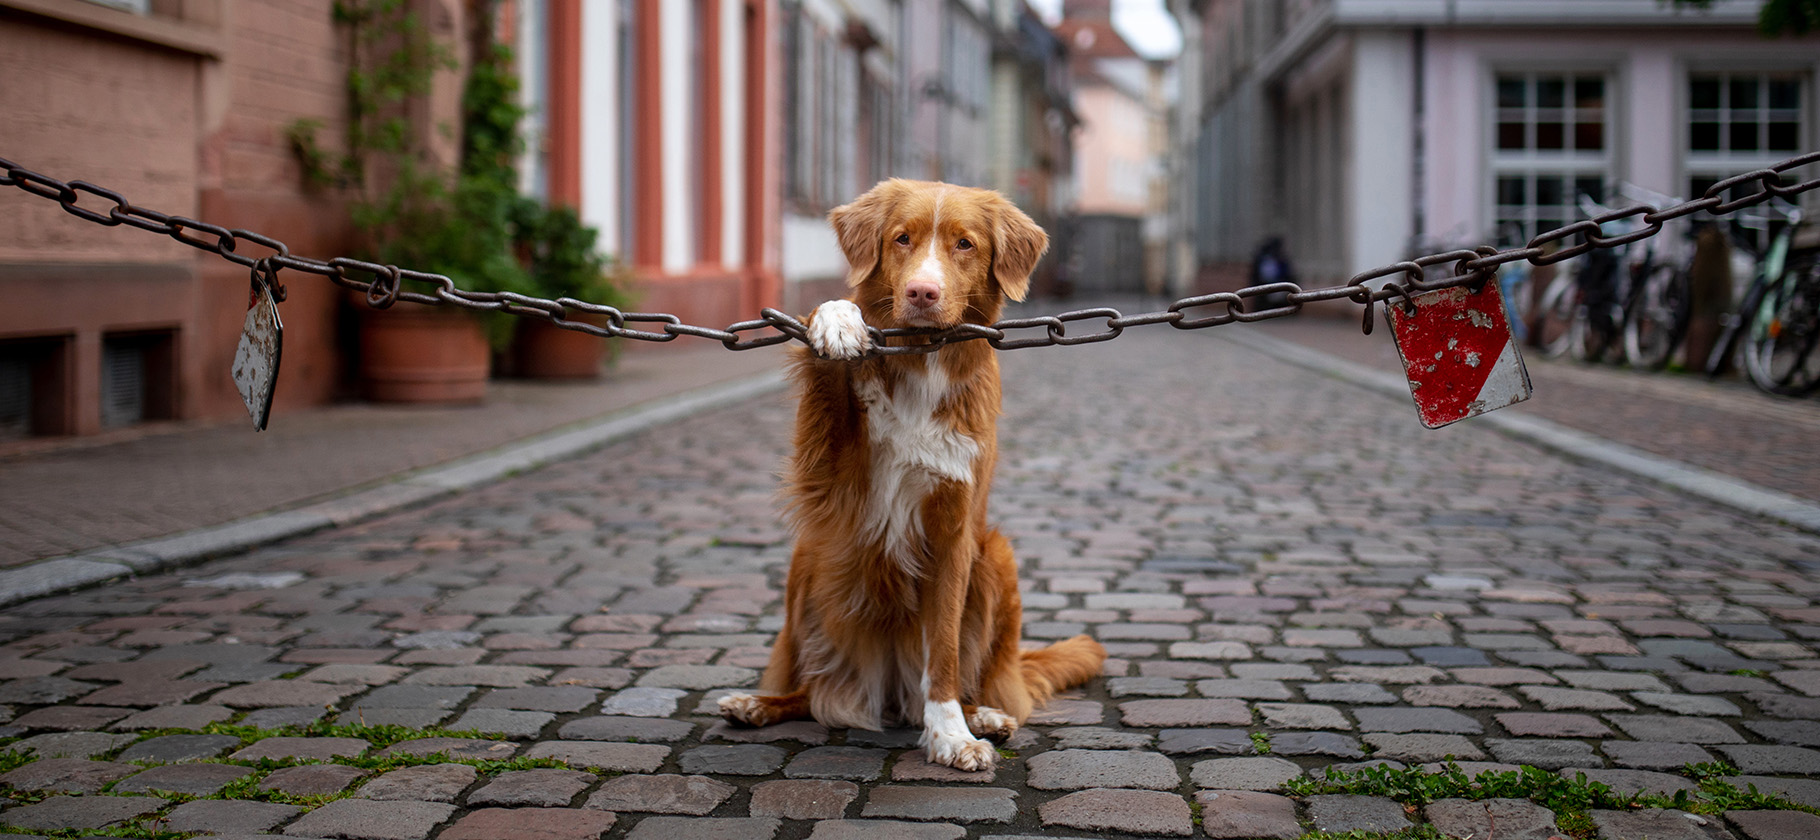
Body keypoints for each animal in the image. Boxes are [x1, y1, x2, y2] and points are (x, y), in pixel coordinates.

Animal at [720, 180, 1106, 770]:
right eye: (902, 238)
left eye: (965, 244)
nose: (923, 292)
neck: (923, 358)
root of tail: (889, 695)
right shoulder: (830, 474)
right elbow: (831, 348)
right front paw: (838, 323)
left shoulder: (953, 529)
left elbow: (943, 648)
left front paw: (950, 734)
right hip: (809, 562)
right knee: (808, 690)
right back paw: (758, 704)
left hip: (996, 556)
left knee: (975, 677)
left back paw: (982, 715)